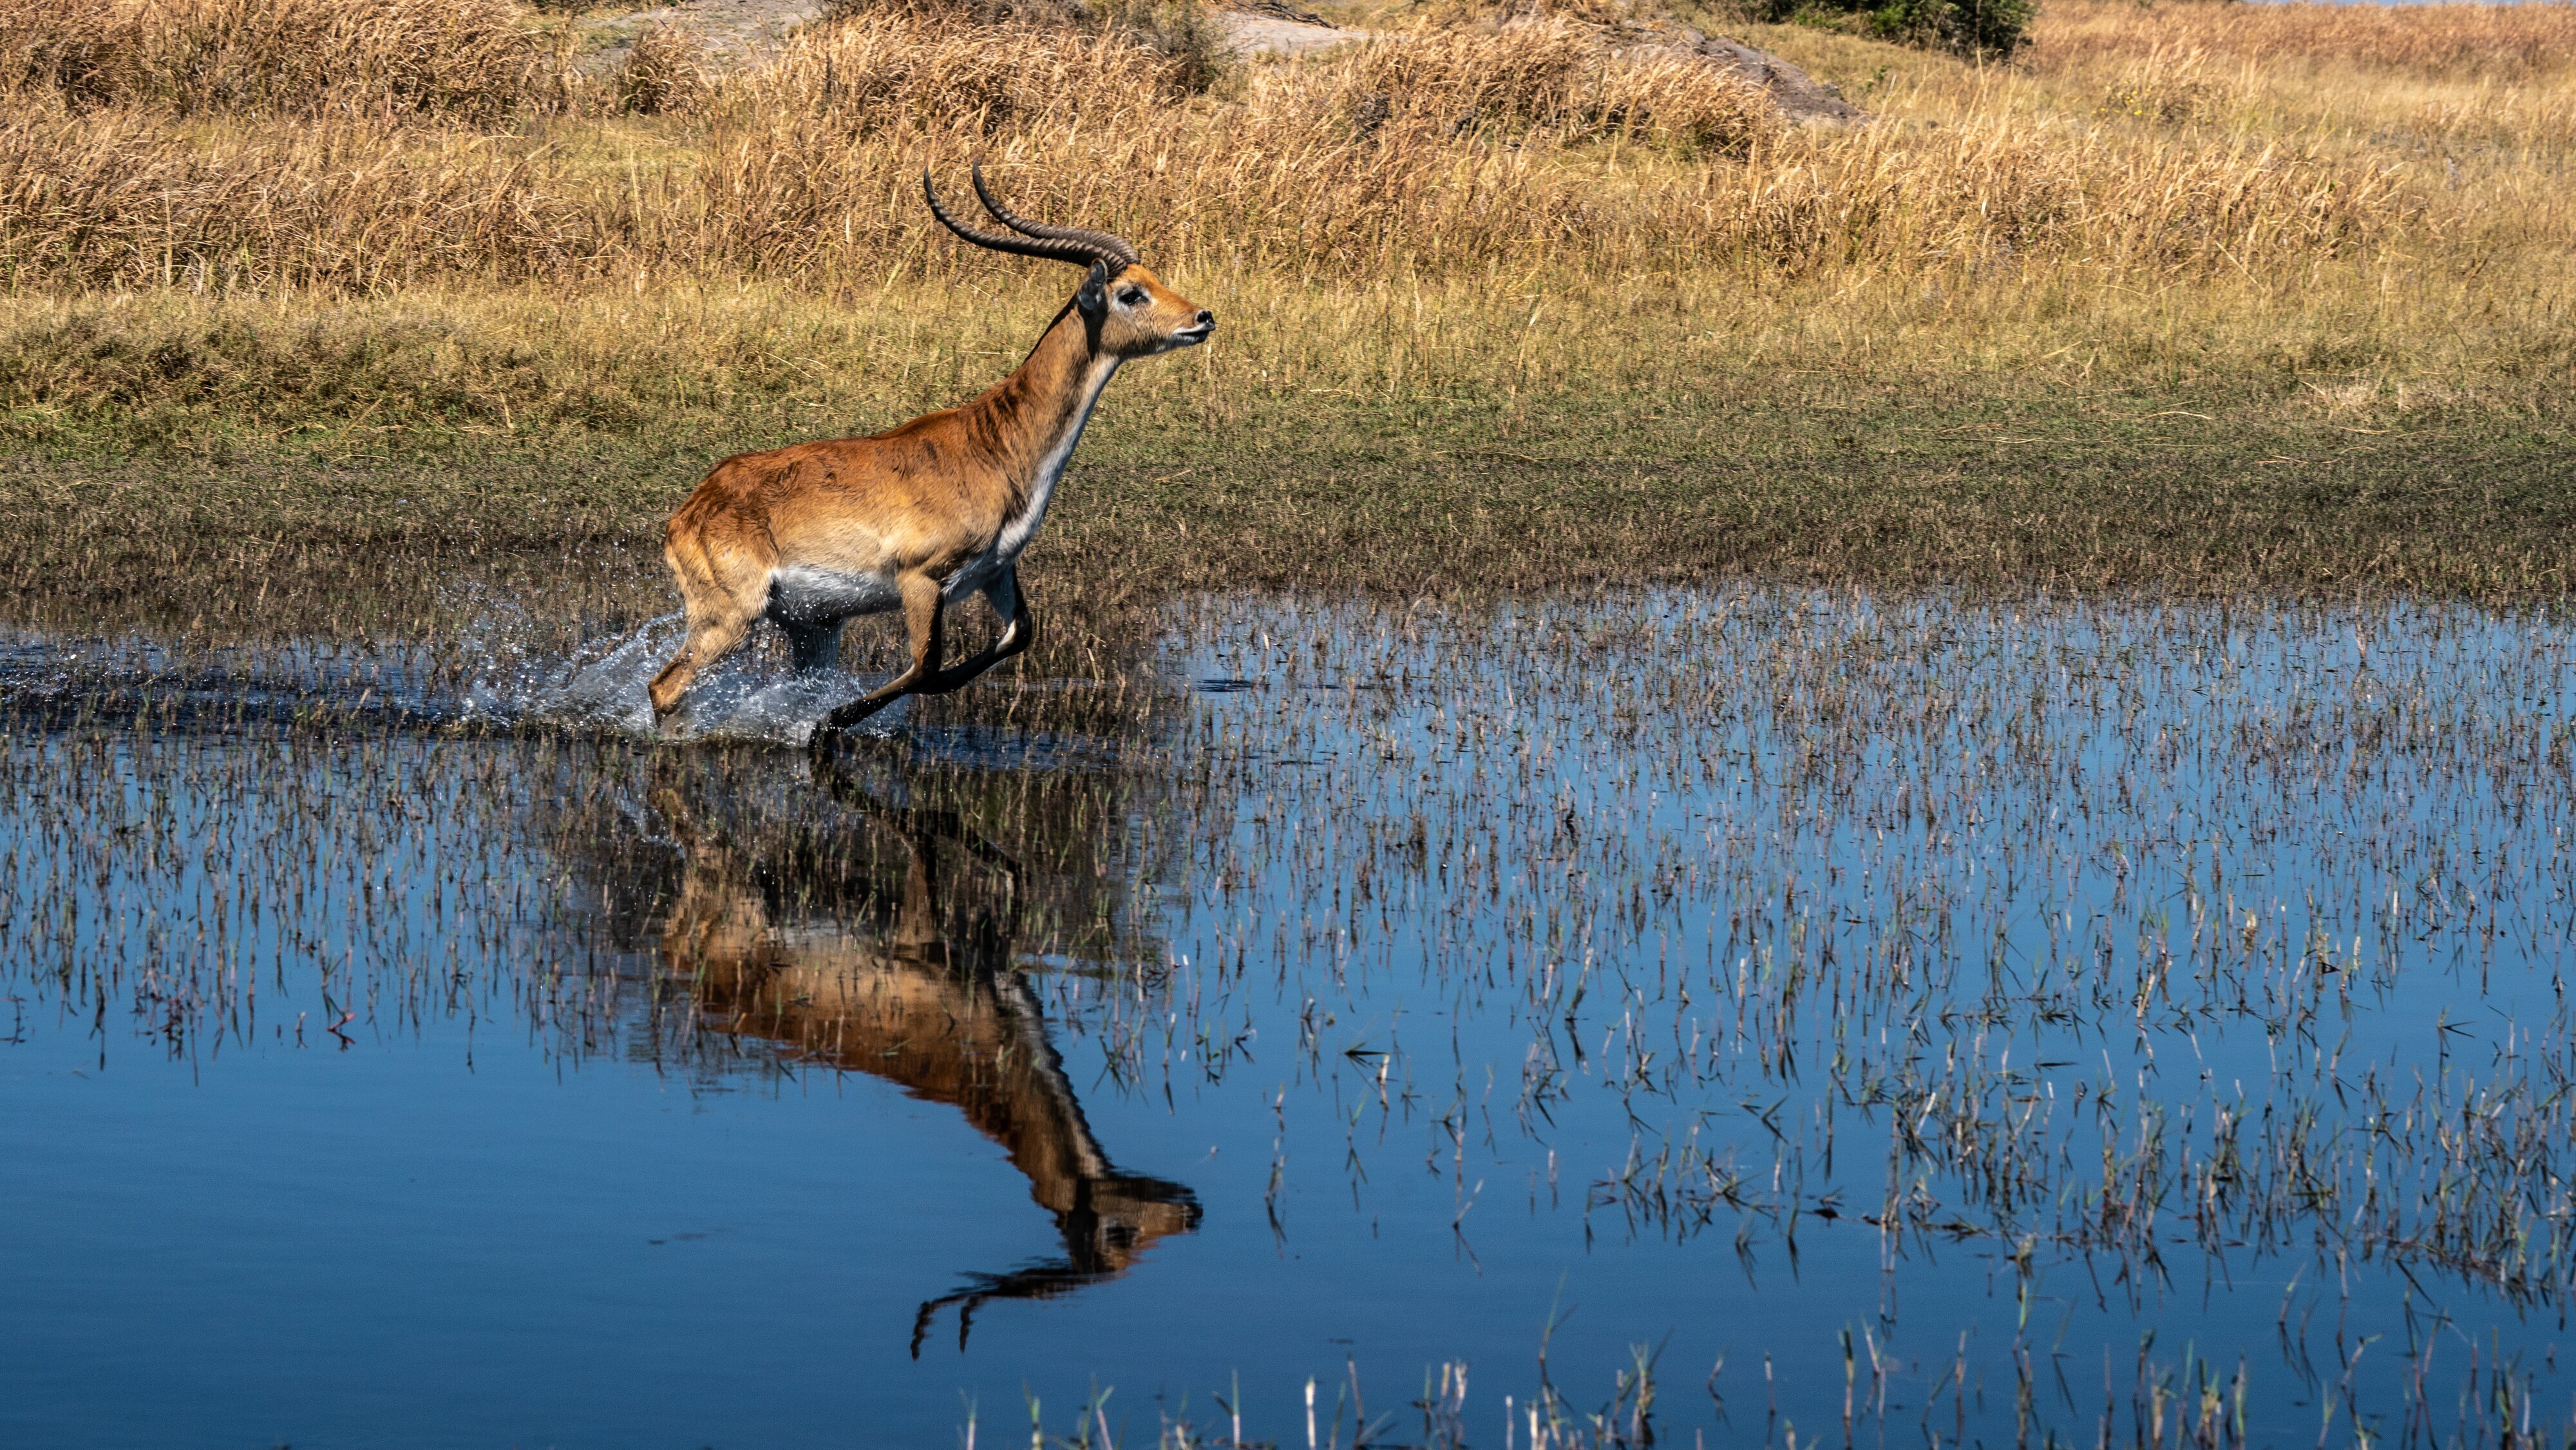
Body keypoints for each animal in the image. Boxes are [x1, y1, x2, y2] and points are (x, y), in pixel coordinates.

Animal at [639, 164, 1211, 741]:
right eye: (1131, 293)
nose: (1203, 317)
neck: (996, 446)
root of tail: (690, 510)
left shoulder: (996, 570)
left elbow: (1016, 636)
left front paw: (824, 723)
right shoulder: (921, 580)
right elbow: (927, 666)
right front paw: (827, 724)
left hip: (813, 624)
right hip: (733, 617)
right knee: (664, 686)